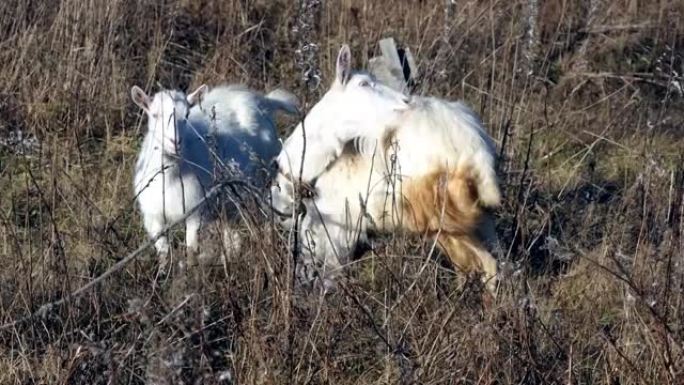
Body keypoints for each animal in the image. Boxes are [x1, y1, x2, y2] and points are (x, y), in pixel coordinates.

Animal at [132, 82, 296, 262]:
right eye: (155, 115)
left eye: (187, 115)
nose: (174, 142)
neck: (170, 178)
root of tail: (265, 102)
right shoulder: (153, 219)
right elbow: (163, 253)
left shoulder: (196, 213)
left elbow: (191, 250)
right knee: (233, 236)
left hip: (264, 181)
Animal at [272, 44, 502, 294]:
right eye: (364, 83)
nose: (406, 100)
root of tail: (475, 146)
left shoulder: (335, 232)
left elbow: (327, 277)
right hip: (478, 219)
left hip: (440, 216)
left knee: (486, 264)